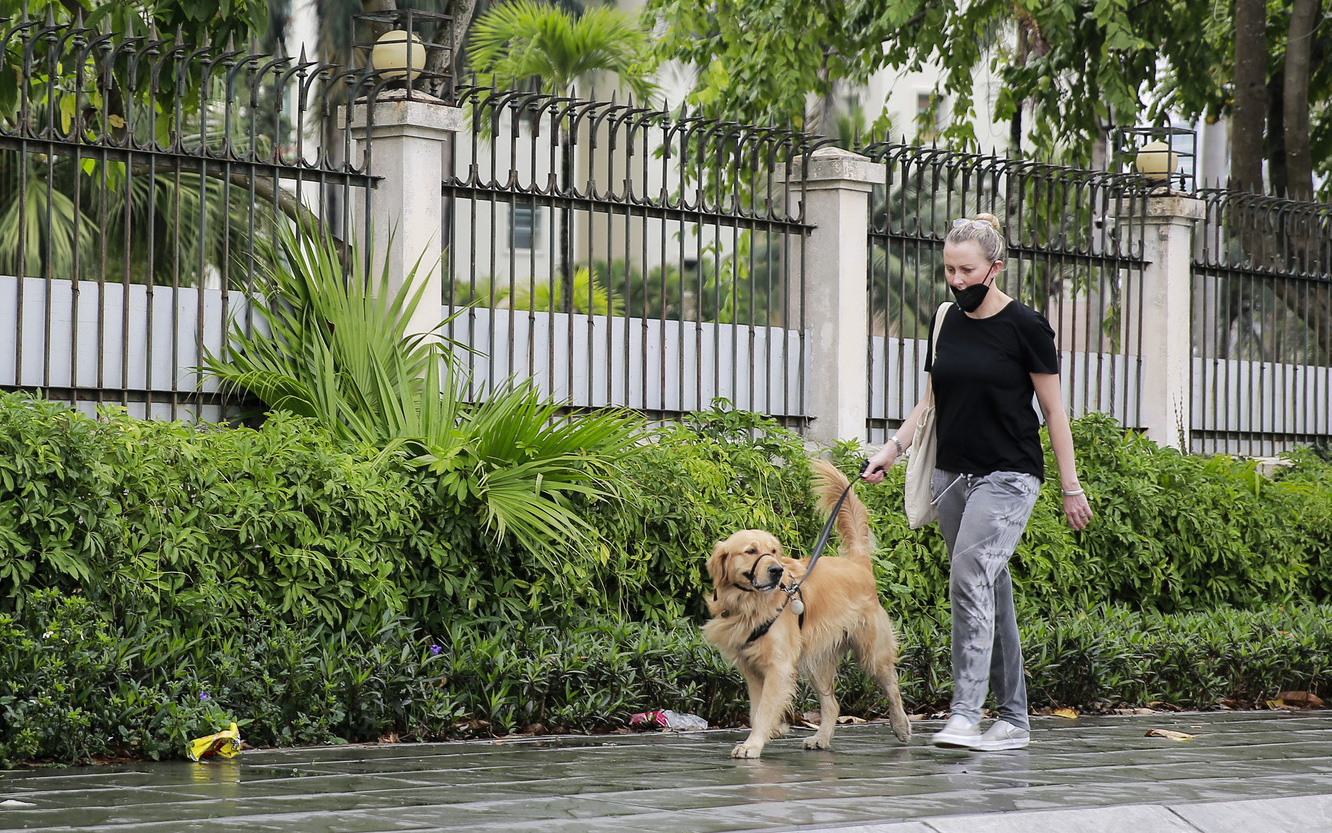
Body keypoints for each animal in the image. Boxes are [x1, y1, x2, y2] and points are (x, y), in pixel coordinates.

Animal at [703, 458, 911, 757]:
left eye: (774, 551)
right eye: (751, 551)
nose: (777, 571)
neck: (751, 604)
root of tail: (857, 562)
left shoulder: (778, 666)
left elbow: (764, 709)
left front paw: (752, 744)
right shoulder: (752, 667)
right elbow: (756, 709)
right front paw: (772, 731)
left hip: (871, 651)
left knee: (892, 686)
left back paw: (901, 725)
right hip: (815, 658)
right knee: (832, 704)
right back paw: (821, 738)